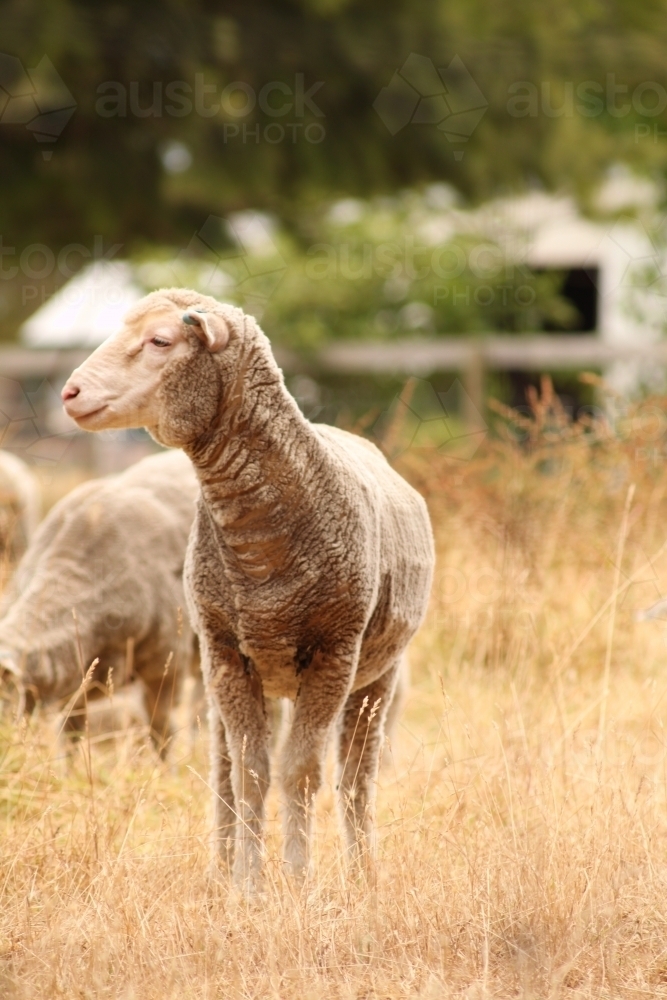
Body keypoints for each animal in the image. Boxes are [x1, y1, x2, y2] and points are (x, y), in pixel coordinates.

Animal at [61, 289, 435, 884]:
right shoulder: (226, 654)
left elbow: (300, 772)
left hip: (377, 675)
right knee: (223, 769)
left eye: (161, 340)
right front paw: (247, 885)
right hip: (240, 671)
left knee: (356, 776)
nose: (70, 393)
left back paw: (362, 874)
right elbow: (250, 773)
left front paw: (299, 881)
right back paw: (219, 868)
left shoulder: (334, 653)